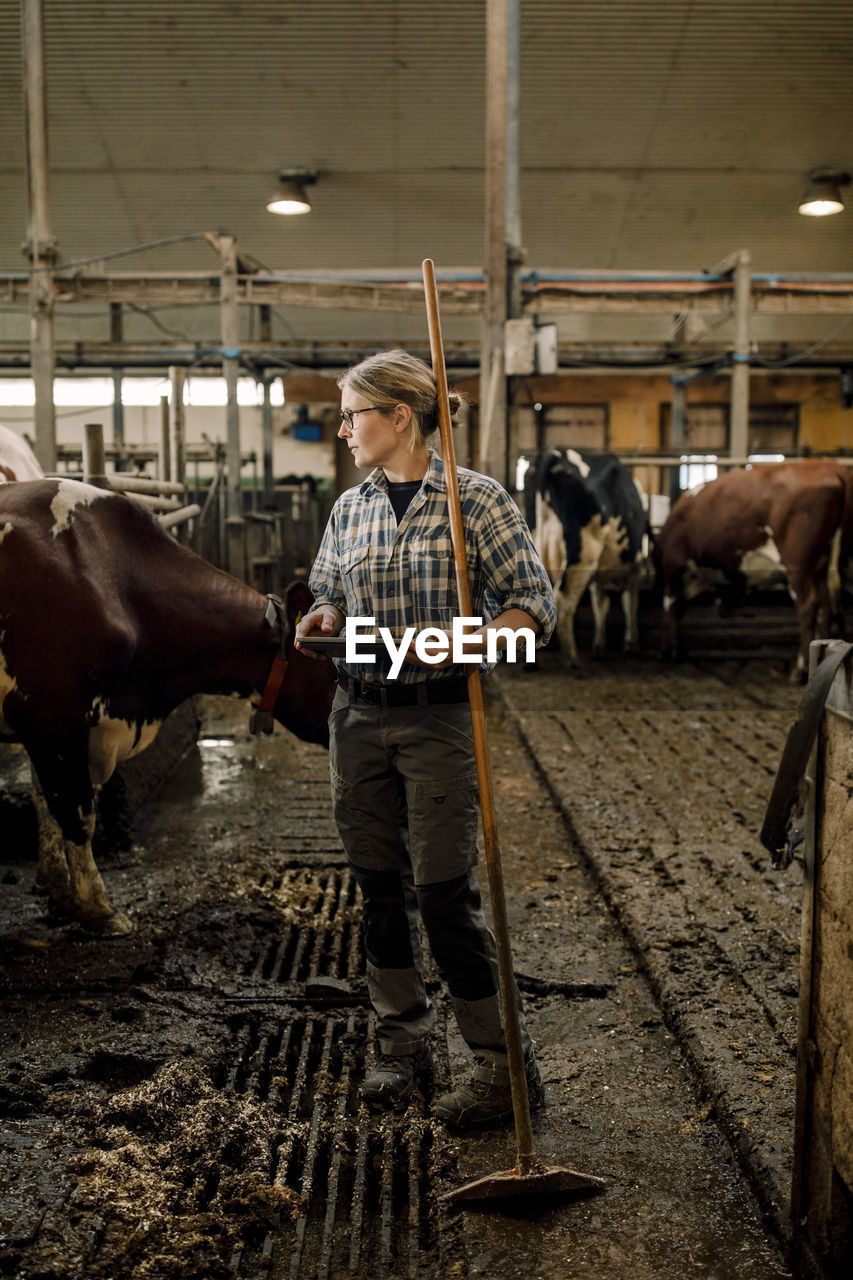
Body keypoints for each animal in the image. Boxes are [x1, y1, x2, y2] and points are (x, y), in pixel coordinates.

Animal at [522, 448, 648, 665]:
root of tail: (555, 455)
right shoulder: (636, 569)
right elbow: (630, 603)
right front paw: (631, 644)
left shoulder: (599, 580)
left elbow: (601, 606)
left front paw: (599, 647)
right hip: (583, 554)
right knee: (563, 601)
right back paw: (572, 660)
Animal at [653, 460, 845, 680]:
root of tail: (831, 472)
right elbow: (678, 607)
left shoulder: (673, 564)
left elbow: (672, 606)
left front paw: (672, 649)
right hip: (821, 566)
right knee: (826, 605)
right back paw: (821, 656)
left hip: (798, 565)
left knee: (809, 606)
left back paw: (801, 668)